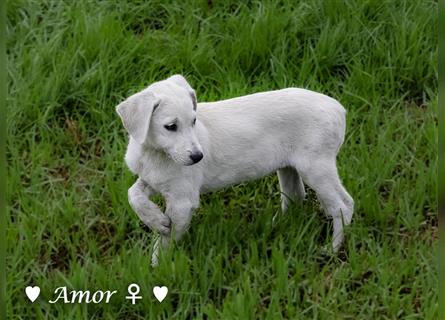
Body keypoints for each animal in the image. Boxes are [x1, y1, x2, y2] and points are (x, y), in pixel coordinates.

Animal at [116, 75, 352, 264]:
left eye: (194, 121)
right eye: (171, 127)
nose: (198, 157)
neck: (156, 153)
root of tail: (339, 109)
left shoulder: (182, 200)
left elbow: (166, 240)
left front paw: (158, 268)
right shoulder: (153, 180)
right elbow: (132, 194)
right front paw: (156, 221)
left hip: (316, 167)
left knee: (344, 205)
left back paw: (332, 250)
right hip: (289, 167)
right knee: (295, 196)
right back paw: (272, 228)